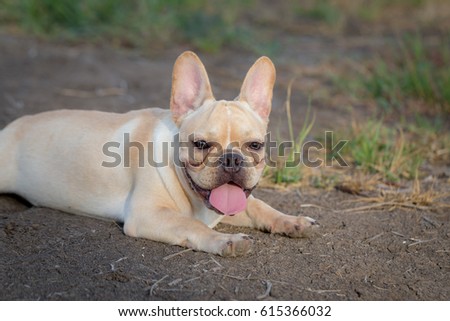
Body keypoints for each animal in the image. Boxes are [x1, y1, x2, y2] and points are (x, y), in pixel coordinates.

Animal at [0, 51, 316, 256]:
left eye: (255, 146)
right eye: (201, 144)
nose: (232, 158)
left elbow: (259, 206)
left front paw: (292, 220)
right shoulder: (147, 214)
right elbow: (190, 224)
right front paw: (224, 241)